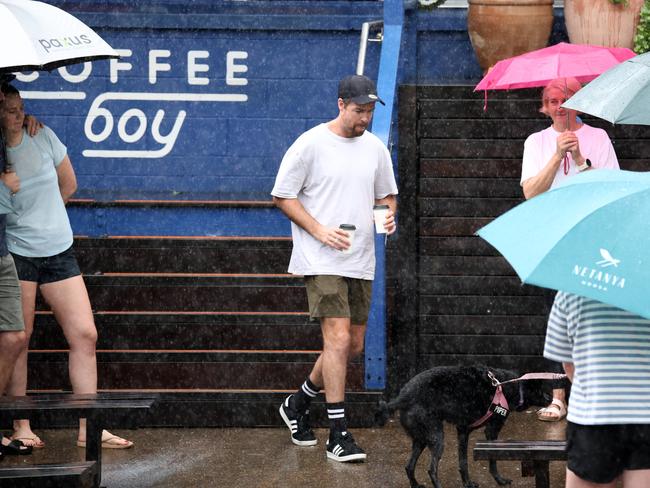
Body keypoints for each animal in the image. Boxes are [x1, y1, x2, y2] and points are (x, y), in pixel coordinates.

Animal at [374, 366, 548, 488]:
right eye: (542, 391)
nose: (551, 398)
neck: (508, 387)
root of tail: (403, 396)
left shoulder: (463, 431)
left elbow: (463, 462)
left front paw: (467, 483)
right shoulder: (490, 431)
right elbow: (492, 460)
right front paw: (499, 480)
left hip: (421, 439)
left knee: (409, 466)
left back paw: (415, 484)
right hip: (437, 437)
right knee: (431, 469)